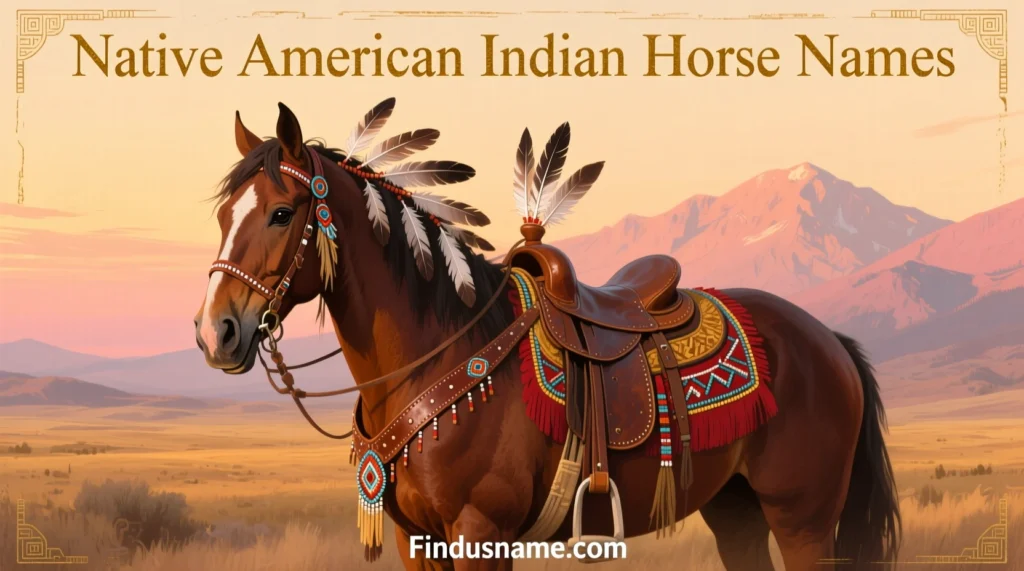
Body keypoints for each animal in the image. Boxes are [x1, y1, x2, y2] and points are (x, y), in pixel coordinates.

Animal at [194, 101, 901, 570]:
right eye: (224, 215)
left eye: (281, 213)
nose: (214, 332)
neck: (441, 355)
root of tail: (827, 340)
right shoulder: (414, 538)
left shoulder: (481, 531)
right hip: (737, 509)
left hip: (804, 519)